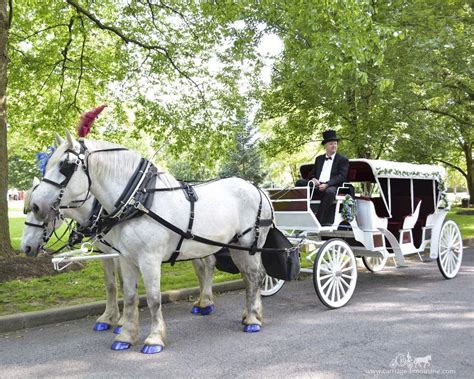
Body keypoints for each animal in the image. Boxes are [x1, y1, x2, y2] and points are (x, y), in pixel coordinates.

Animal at [29, 132, 272, 354]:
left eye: (66, 166)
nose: (36, 205)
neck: (138, 201)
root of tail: (257, 188)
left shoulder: (149, 259)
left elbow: (154, 298)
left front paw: (154, 339)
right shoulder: (125, 258)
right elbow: (128, 295)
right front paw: (125, 335)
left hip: (250, 243)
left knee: (254, 276)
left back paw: (252, 319)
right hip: (237, 247)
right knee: (249, 277)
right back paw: (250, 313)